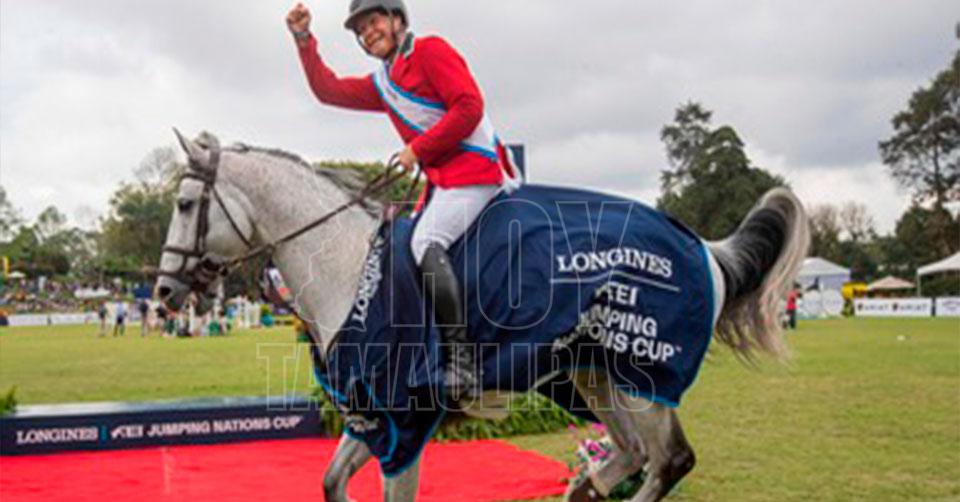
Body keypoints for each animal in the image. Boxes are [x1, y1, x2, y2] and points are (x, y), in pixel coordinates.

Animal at [158, 131, 808, 500]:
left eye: (186, 204)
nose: (164, 291)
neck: (349, 267)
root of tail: (703, 247)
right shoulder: (368, 419)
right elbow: (332, 483)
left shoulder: (404, 425)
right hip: (592, 376)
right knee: (631, 454)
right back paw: (586, 488)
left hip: (643, 376)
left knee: (669, 460)